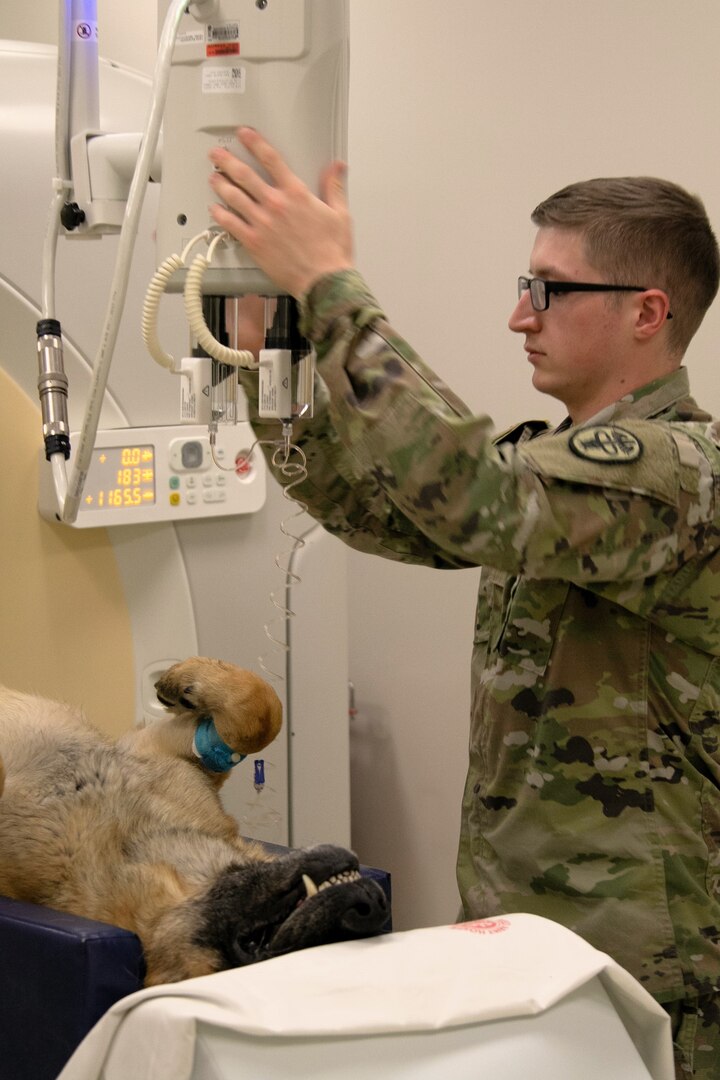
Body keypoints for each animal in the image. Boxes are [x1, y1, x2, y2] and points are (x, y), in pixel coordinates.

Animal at [0, 656, 388, 989]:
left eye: (257, 952)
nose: (372, 907)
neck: (136, 843)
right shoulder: (165, 750)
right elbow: (259, 716)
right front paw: (182, 682)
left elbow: (257, 717)